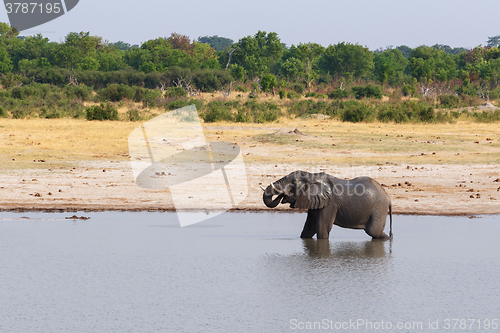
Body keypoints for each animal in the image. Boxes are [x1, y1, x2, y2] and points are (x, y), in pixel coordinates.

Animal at [260, 171, 392, 239]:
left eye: (293, 184)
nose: (283, 195)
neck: (312, 176)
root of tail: (388, 197)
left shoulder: (330, 204)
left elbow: (321, 228)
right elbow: (309, 228)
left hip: (379, 208)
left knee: (374, 232)